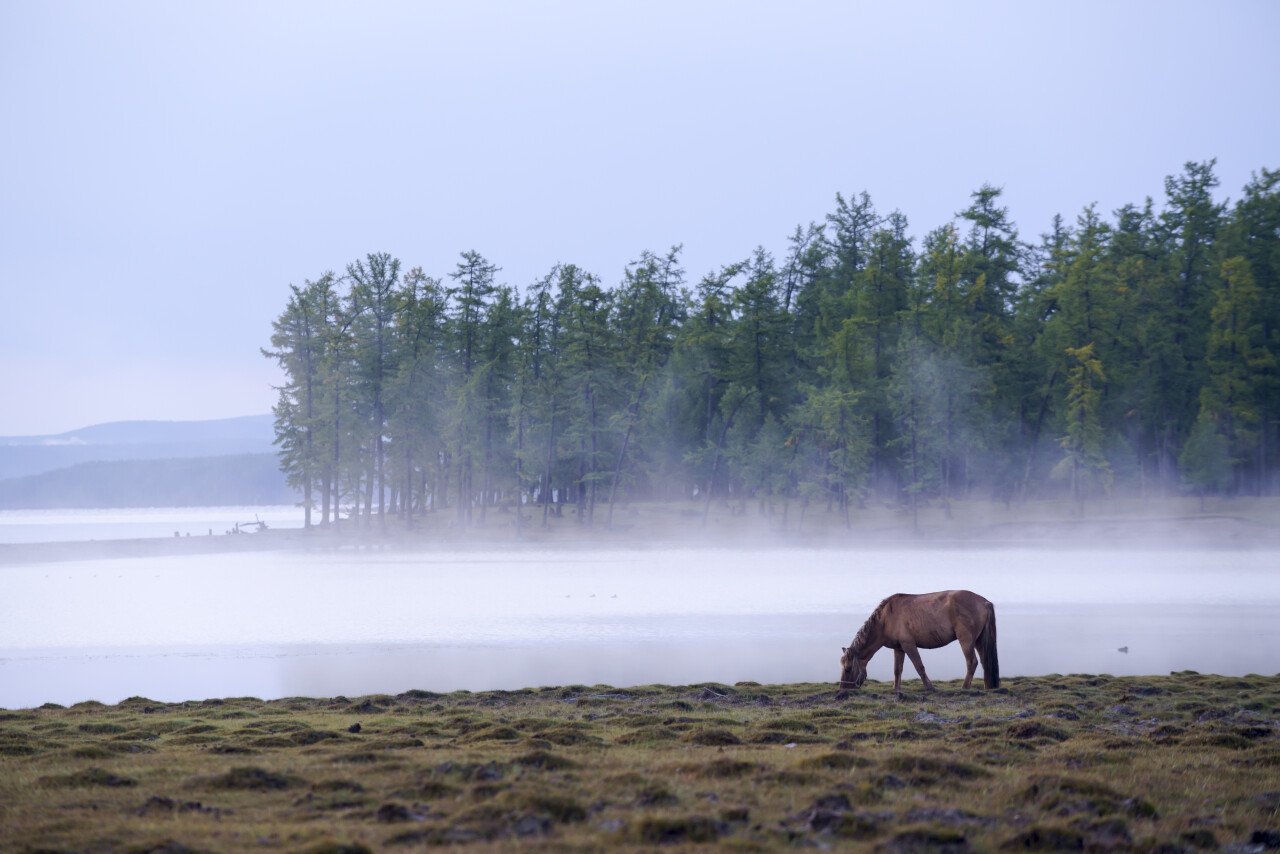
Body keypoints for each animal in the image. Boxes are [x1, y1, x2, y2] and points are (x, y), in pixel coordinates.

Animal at [839, 591, 998, 696]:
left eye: (848, 669)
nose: (843, 690)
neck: (885, 619)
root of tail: (984, 602)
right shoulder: (899, 648)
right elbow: (897, 670)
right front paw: (896, 689)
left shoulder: (908, 645)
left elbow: (919, 666)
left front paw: (930, 687)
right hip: (978, 641)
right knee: (984, 662)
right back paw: (986, 687)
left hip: (966, 640)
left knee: (972, 662)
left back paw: (964, 688)